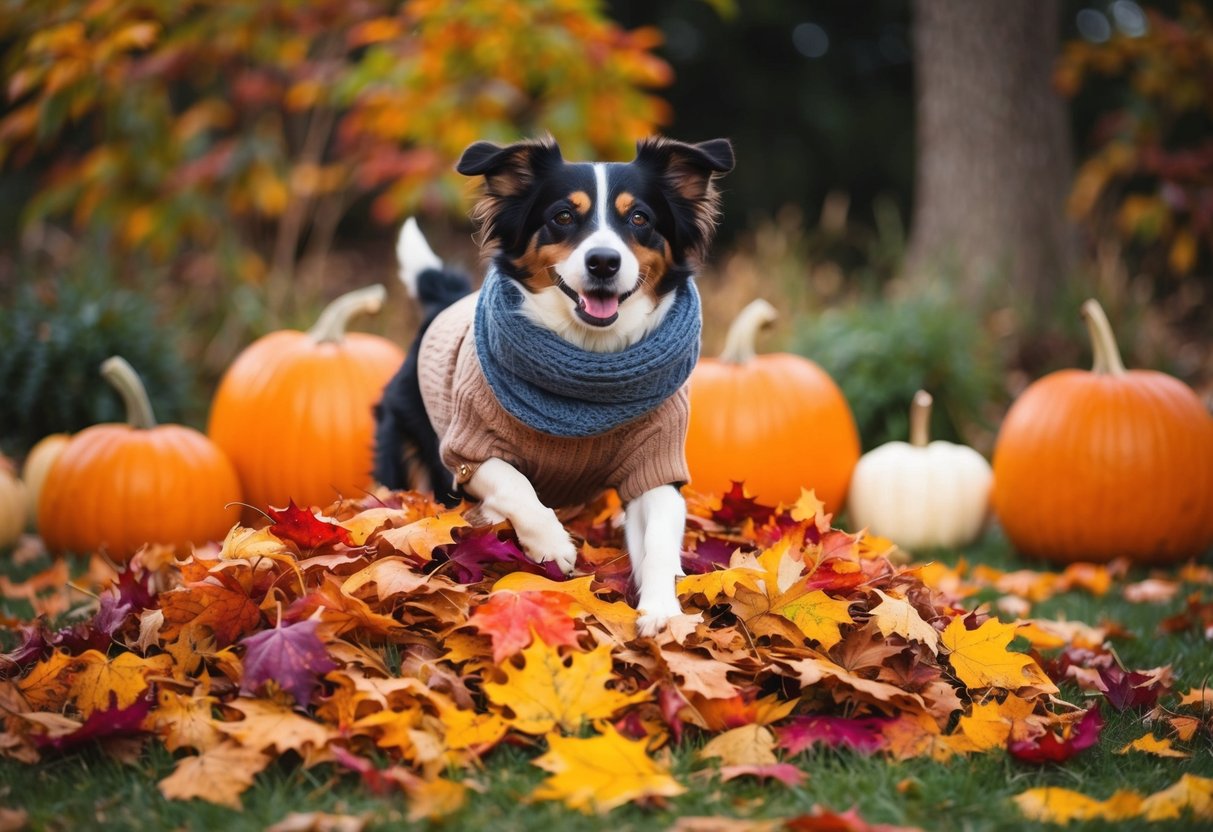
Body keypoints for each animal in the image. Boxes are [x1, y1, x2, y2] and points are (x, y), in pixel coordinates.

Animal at [371, 135, 727, 640]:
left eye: (640, 218)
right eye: (562, 216)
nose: (603, 261)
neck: (589, 366)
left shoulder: (656, 459)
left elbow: (659, 536)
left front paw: (662, 608)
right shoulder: (467, 446)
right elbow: (514, 483)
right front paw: (552, 544)